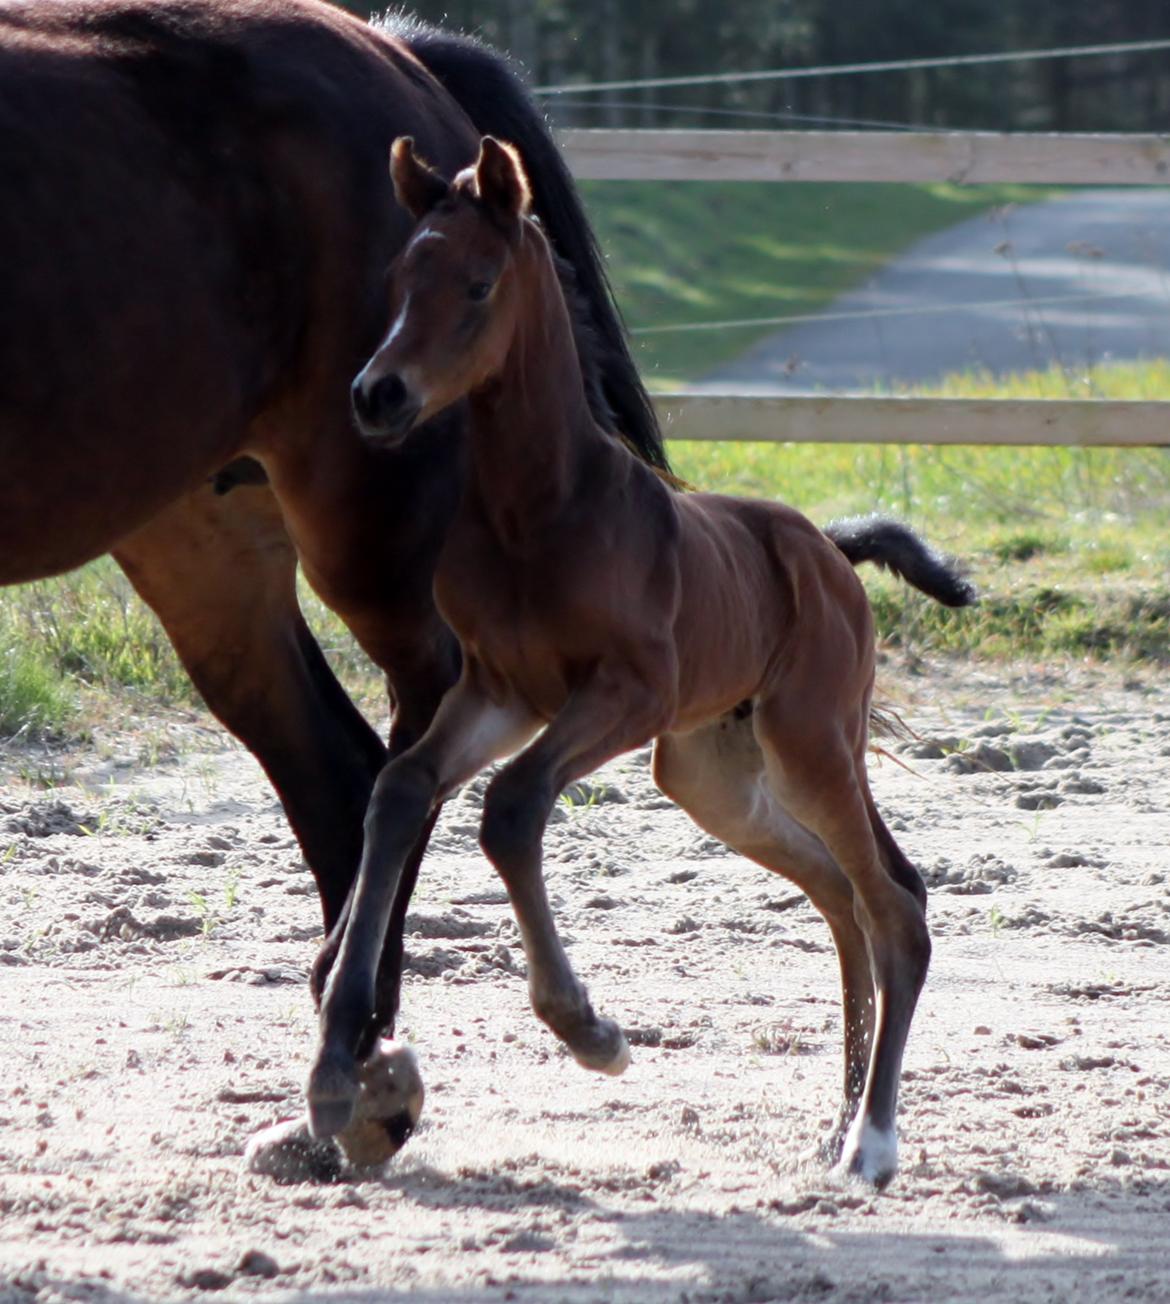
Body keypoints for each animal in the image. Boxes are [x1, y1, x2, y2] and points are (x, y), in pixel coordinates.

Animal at [0, 0, 662, 1163]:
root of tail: (400, 51)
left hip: (375, 534)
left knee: (403, 755)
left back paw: (353, 1046)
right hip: (206, 545)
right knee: (337, 771)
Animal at [313, 137, 975, 1189]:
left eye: (478, 283)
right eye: (397, 282)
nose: (378, 396)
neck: (537, 510)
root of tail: (831, 552)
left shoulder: (627, 691)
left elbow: (513, 806)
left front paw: (590, 1031)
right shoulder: (499, 691)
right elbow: (402, 787)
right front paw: (337, 1072)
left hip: (810, 740)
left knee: (895, 908)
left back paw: (870, 1143)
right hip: (710, 774)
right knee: (842, 895)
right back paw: (837, 1121)